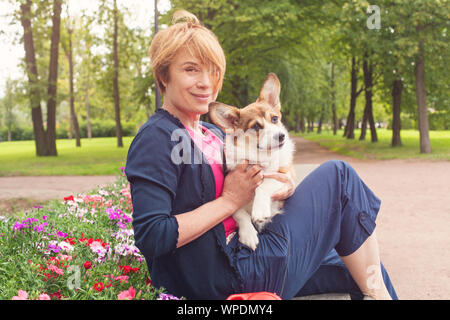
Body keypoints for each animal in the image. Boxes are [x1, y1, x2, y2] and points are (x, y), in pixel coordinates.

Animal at [208, 72, 294, 250]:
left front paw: (259, 210)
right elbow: (240, 213)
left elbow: (264, 184)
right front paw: (248, 234)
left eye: (274, 119)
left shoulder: (284, 175)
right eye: (256, 127)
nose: (281, 136)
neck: (259, 157)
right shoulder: (231, 196)